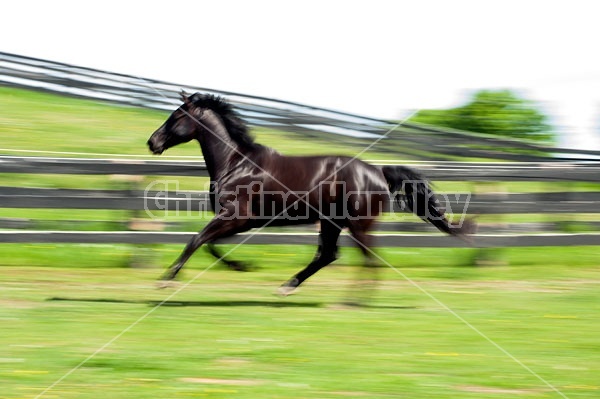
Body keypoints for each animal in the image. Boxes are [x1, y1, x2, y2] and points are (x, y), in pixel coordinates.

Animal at [146, 92, 474, 296]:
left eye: (175, 117)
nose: (152, 142)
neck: (236, 163)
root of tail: (378, 172)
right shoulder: (239, 221)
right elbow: (210, 245)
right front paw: (243, 266)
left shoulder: (236, 217)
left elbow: (197, 240)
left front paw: (166, 281)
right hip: (331, 223)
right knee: (328, 255)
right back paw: (287, 286)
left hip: (358, 224)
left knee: (369, 259)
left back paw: (353, 302)